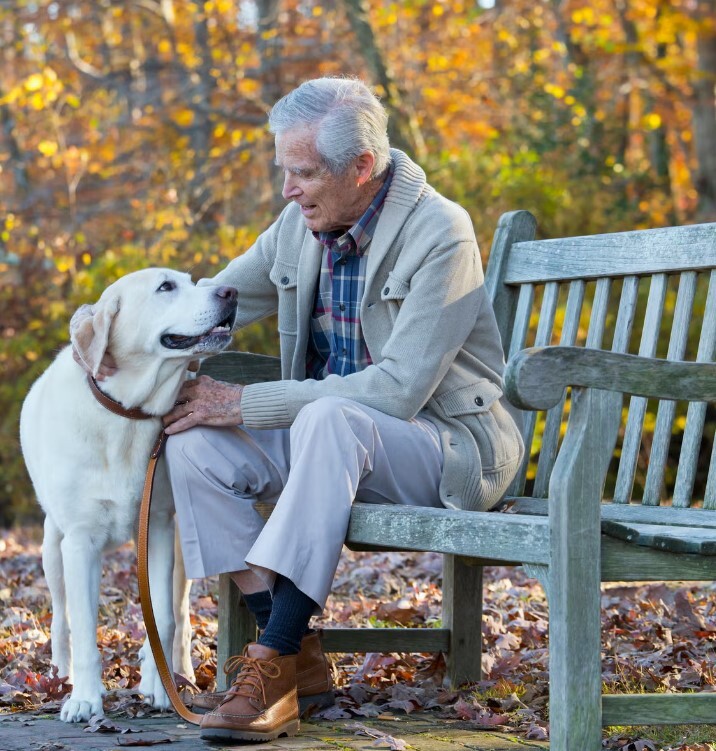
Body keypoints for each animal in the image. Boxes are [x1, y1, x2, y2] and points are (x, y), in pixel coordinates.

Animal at [19, 268, 236, 724]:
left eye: (192, 280)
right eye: (166, 287)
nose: (231, 291)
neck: (128, 415)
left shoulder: (157, 528)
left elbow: (164, 619)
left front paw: (158, 687)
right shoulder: (80, 543)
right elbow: (84, 627)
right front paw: (85, 698)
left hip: (182, 549)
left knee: (180, 615)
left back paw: (180, 672)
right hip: (52, 548)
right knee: (61, 617)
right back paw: (60, 673)